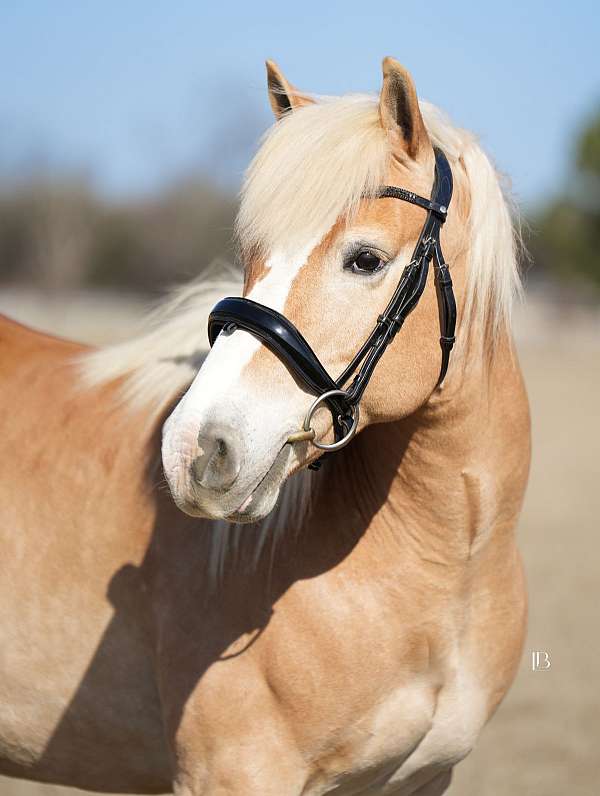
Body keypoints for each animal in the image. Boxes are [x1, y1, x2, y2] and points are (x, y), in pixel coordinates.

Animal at [0, 58, 530, 795]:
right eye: (249, 252)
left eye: (365, 259)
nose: (195, 451)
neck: (446, 571)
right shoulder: (236, 772)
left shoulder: (422, 779)